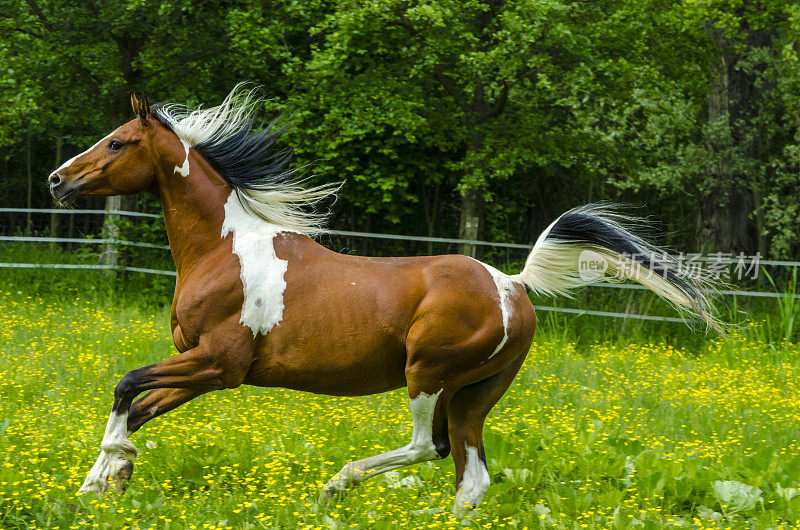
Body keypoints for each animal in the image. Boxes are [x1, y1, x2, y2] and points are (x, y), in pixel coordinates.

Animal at [47, 85, 716, 512]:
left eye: (117, 143)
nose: (58, 179)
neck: (224, 249)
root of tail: (513, 285)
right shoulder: (204, 368)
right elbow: (137, 405)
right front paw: (101, 484)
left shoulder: (220, 363)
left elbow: (125, 388)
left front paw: (108, 471)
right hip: (475, 394)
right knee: (471, 478)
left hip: (429, 375)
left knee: (428, 448)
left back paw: (337, 485)